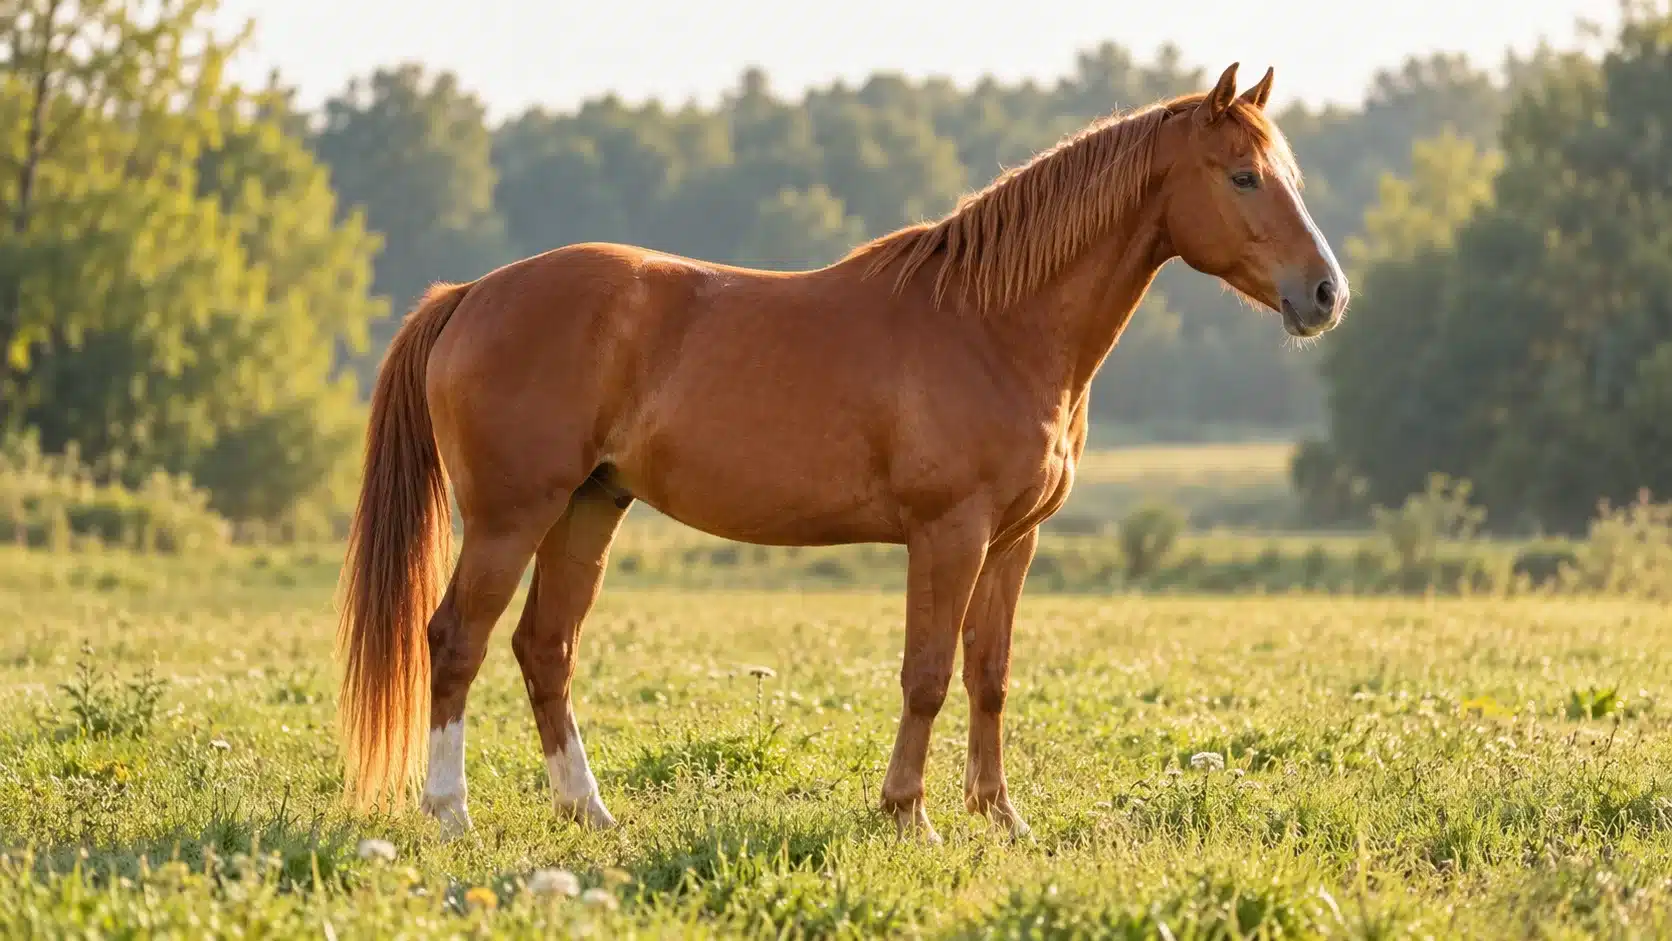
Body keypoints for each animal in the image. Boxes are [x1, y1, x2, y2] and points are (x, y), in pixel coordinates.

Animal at [334, 62, 1348, 844]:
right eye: (1243, 176)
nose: (1326, 294)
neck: (993, 325)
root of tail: (471, 293)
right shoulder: (949, 534)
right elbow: (927, 674)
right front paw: (910, 814)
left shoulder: (1013, 541)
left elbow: (989, 675)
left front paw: (1001, 816)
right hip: (511, 516)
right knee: (455, 639)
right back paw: (450, 812)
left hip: (589, 507)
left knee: (545, 647)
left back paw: (590, 811)